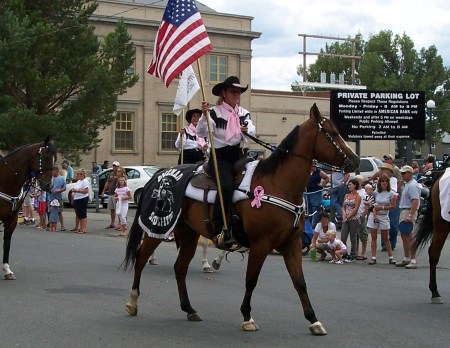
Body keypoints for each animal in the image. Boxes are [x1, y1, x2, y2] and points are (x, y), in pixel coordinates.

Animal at [0, 137, 56, 280]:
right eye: (45, 157)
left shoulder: (12, 219)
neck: (4, 182)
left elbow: (7, 243)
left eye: (55, 158)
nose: (48, 185)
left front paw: (7, 270)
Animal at [122, 104, 358, 336]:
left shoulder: (292, 243)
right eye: (332, 133)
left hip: (188, 234)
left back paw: (189, 309)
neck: (278, 184)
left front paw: (313, 320)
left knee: (180, 268)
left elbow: (299, 282)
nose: (355, 161)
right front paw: (247, 317)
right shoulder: (260, 243)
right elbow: (251, 280)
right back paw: (132, 302)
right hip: (158, 229)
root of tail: (158, 175)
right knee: (141, 258)